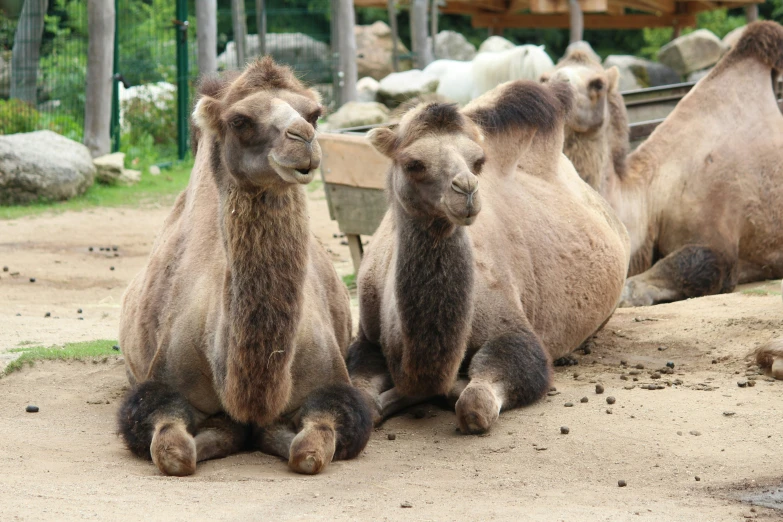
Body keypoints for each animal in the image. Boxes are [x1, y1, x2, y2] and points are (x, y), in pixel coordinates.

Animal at [117, 58, 374, 476]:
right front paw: (227, 433)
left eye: (314, 114)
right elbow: (174, 451)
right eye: (239, 120)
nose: (302, 138)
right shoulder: (156, 392)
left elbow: (308, 451)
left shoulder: (335, 390)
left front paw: (267, 434)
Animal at [348, 80, 632, 430]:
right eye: (413, 163)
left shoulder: (514, 332)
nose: (467, 189)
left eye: (478, 162)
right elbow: (364, 397)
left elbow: (476, 402)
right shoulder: (367, 338)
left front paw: (450, 390)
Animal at [544, 21, 783, 304]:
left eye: (598, 84)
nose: (556, 89)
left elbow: (701, 265)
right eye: (544, 78)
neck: (651, 196)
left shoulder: (718, 236)